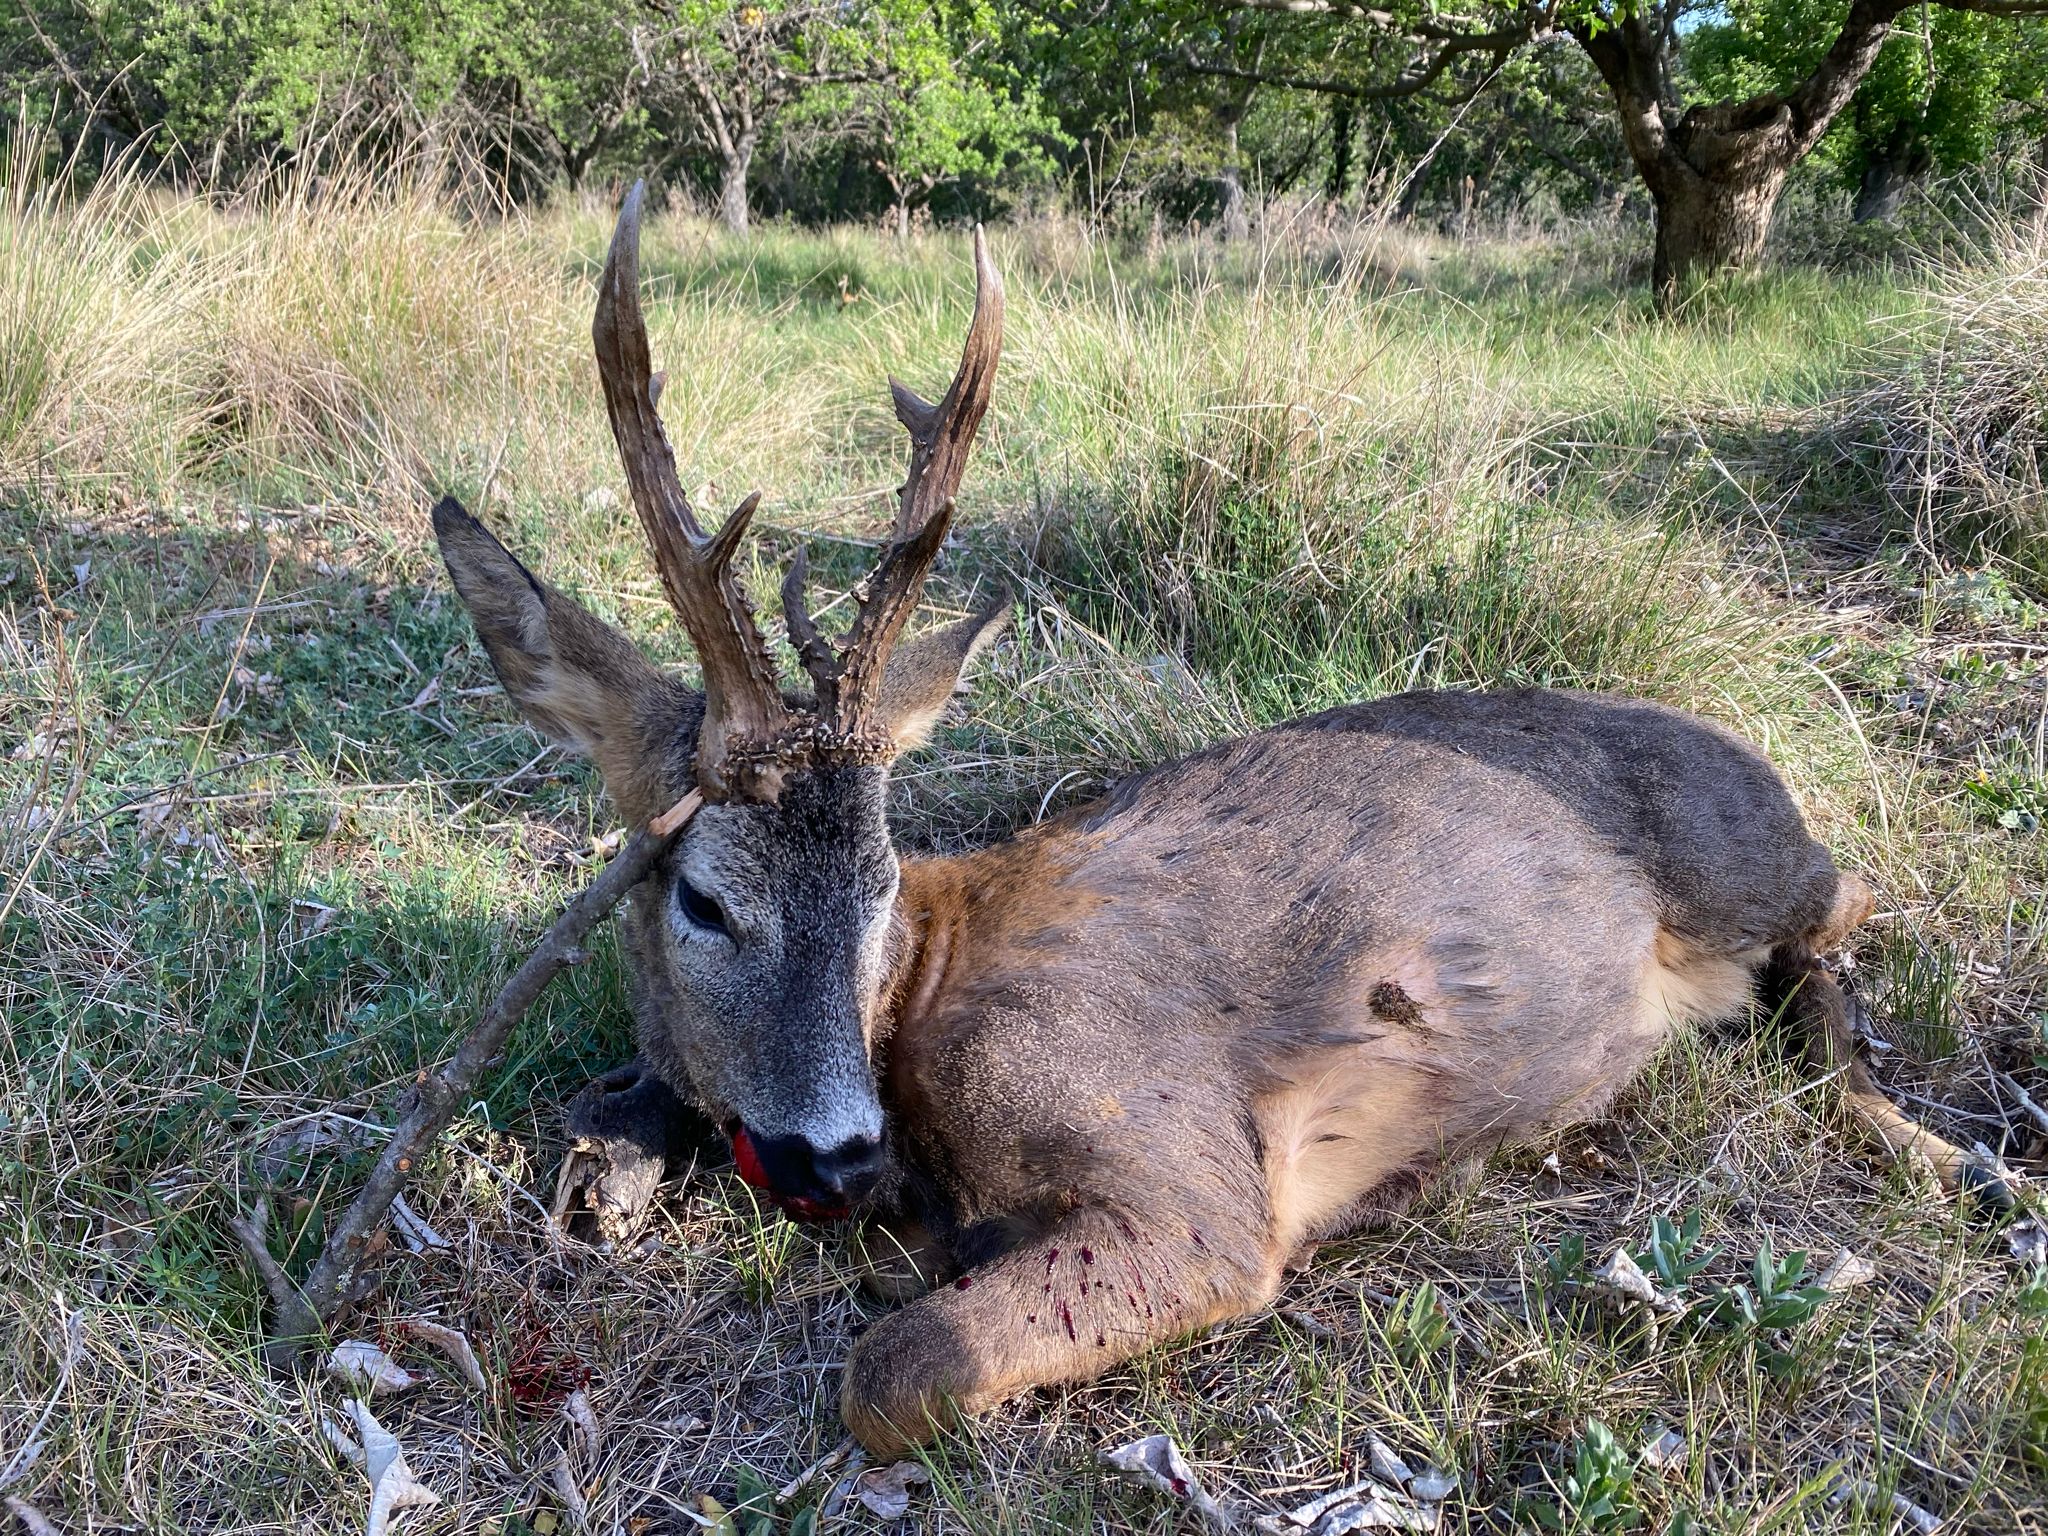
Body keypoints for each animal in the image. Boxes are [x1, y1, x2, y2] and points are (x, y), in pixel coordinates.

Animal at [430, 184, 2007, 1457]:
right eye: (705, 900)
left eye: (880, 883)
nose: (837, 1155)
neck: (922, 1019)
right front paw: (612, 1161)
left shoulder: (1192, 1190)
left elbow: (893, 1370)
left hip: (1741, 856)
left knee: (1853, 899)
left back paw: (1938, 1148)